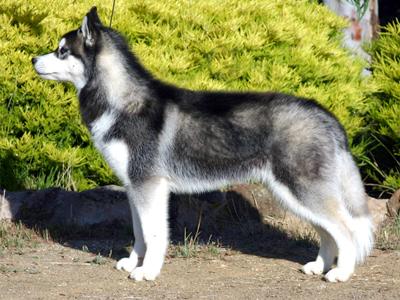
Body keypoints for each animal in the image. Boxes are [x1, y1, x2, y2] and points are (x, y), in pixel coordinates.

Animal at [32, 7, 374, 284]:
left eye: (61, 51)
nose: (33, 59)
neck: (120, 101)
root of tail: (325, 113)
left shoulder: (150, 186)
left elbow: (154, 234)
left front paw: (147, 271)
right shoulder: (134, 187)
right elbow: (139, 232)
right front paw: (133, 261)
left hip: (301, 189)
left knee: (345, 230)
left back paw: (341, 273)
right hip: (291, 193)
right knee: (328, 231)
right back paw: (320, 266)